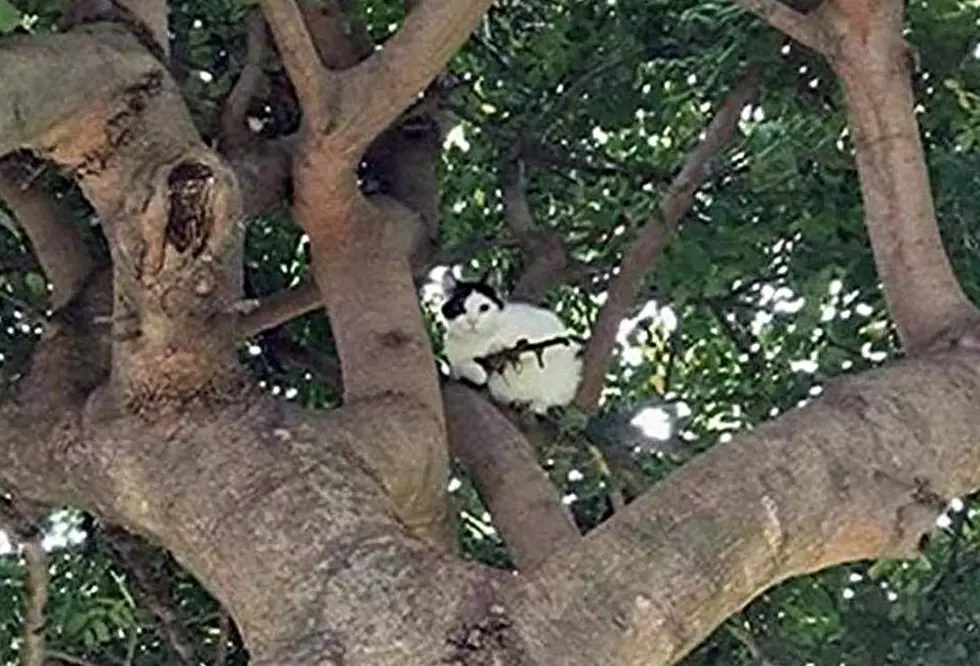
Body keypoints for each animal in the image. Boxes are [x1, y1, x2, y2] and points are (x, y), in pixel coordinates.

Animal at [438, 270, 580, 410]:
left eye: (484, 308)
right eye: (458, 307)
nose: (472, 321)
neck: (478, 341)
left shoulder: (545, 329)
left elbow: (529, 347)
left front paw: (497, 346)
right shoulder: (455, 361)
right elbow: (460, 366)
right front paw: (476, 372)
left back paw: (538, 404)